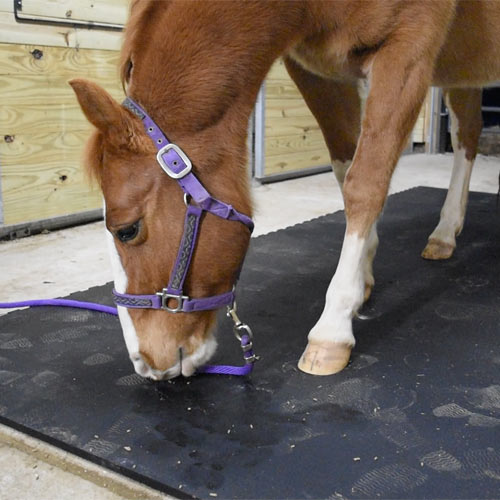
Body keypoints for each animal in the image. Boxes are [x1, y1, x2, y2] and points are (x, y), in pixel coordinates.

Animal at [70, 0, 500, 378]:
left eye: (127, 230)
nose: (144, 364)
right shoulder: (318, 74)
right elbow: (346, 170)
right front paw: (363, 278)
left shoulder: (407, 50)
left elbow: (366, 182)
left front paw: (332, 329)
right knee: (468, 131)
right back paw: (445, 234)